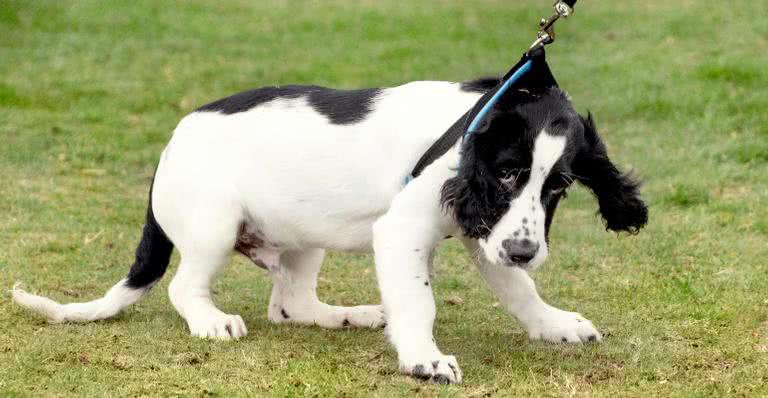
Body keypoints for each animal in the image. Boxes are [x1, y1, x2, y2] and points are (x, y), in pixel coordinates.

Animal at [12, 74, 648, 382]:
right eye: (509, 171)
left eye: (558, 186)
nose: (522, 249)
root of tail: (170, 145)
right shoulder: (410, 229)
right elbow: (420, 303)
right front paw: (423, 359)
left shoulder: (484, 227)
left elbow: (521, 290)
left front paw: (554, 326)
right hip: (214, 222)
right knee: (183, 286)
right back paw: (211, 321)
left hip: (302, 233)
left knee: (291, 304)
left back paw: (353, 315)